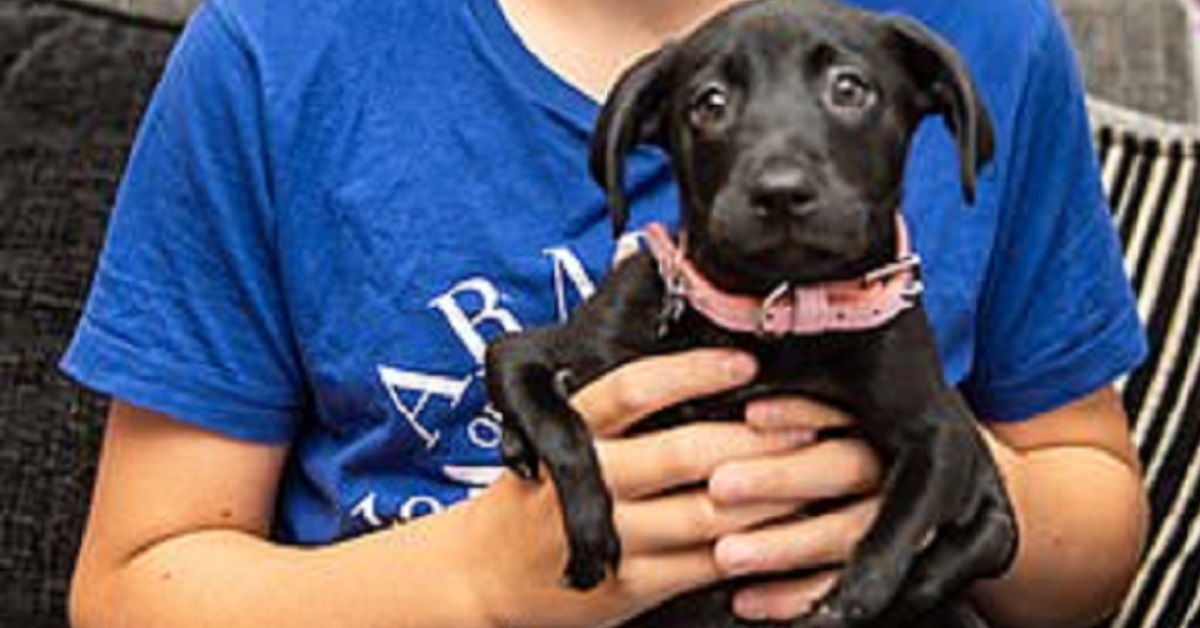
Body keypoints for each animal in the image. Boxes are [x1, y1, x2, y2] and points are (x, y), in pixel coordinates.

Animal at [482, 2, 1017, 624]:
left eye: (850, 88)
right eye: (709, 103)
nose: (780, 191)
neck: (777, 315)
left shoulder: (941, 428)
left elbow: (899, 531)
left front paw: (841, 604)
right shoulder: (545, 348)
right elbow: (559, 422)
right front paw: (590, 526)